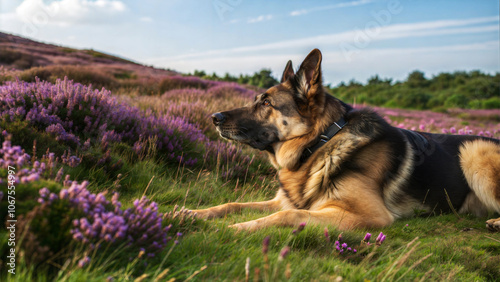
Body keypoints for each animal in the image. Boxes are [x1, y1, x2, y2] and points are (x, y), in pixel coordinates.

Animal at [190, 49, 500, 232]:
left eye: (266, 103)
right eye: (256, 99)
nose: (214, 117)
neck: (318, 145)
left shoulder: (366, 215)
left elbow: (286, 217)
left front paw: (230, 229)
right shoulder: (285, 201)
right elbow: (232, 205)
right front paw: (190, 214)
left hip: (474, 151)